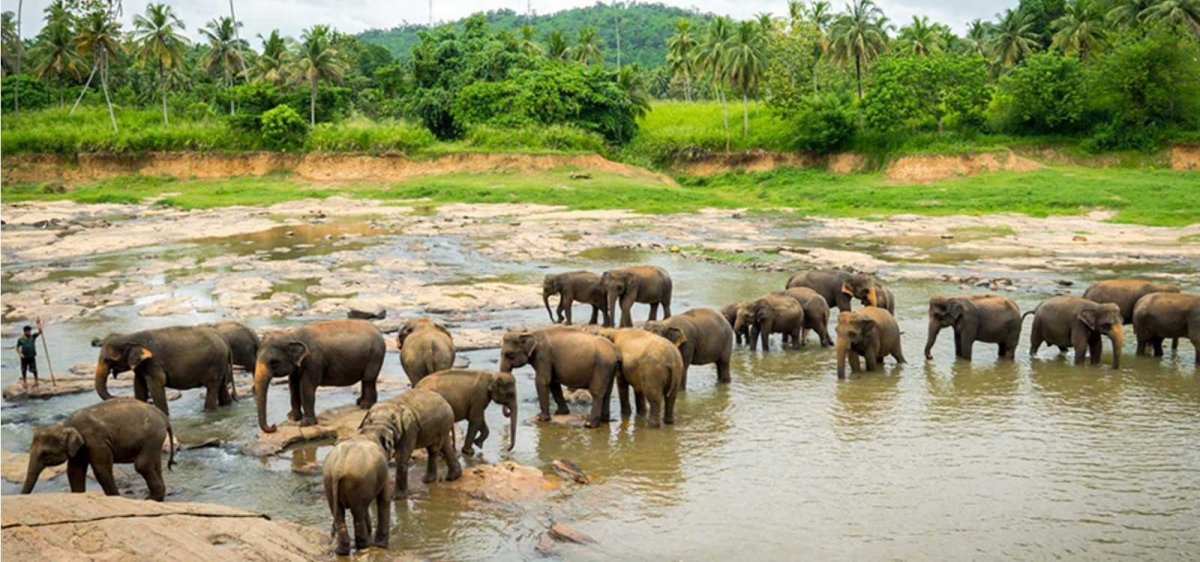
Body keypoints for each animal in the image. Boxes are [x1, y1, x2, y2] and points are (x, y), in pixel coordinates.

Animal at [21, 398, 175, 501]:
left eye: (45, 454)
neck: (65, 424)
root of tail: (164, 417)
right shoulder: (80, 449)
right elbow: (74, 471)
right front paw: (78, 495)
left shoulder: (95, 441)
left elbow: (101, 470)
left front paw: (115, 498)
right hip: (155, 439)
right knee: (156, 465)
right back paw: (157, 497)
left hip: (153, 437)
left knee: (141, 465)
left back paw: (151, 498)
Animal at [94, 326, 234, 417]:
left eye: (108, 360)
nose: (124, 397)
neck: (130, 336)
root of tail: (223, 338)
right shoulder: (142, 366)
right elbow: (139, 386)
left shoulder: (153, 362)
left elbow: (156, 385)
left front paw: (164, 415)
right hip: (221, 363)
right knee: (222, 385)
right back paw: (226, 405)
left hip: (215, 363)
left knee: (212, 387)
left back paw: (207, 411)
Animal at [254, 320, 386, 433]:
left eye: (274, 362)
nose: (274, 426)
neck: (293, 335)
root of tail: (378, 330)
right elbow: (293, 386)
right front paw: (292, 418)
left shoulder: (314, 361)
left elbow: (306, 386)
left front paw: (306, 423)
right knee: (365, 379)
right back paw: (359, 402)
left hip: (375, 355)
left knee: (368, 379)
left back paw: (365, 406)